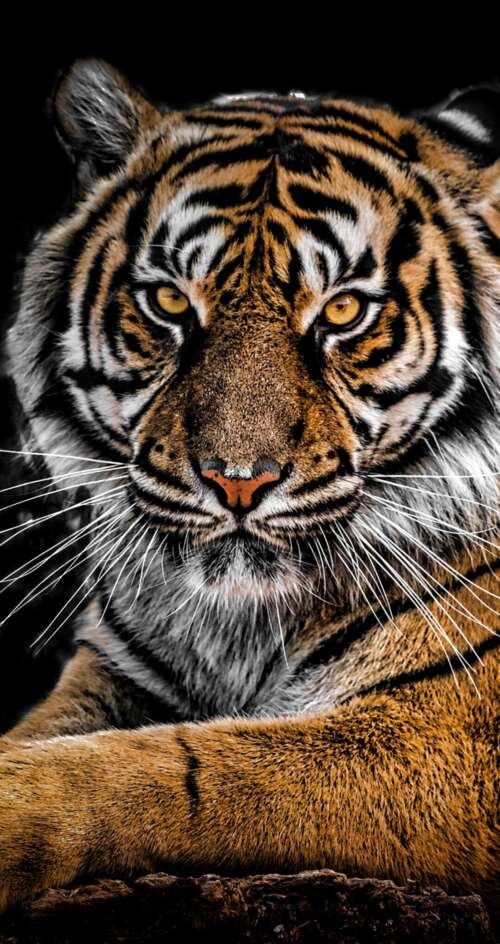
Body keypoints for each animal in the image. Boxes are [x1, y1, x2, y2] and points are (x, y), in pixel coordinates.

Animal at [0, 59, 498, 917]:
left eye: (343, 310)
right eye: (169, 301)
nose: (239, 482)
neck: (237, 628)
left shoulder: (446, 736)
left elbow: (173, 769)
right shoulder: (116, 670)